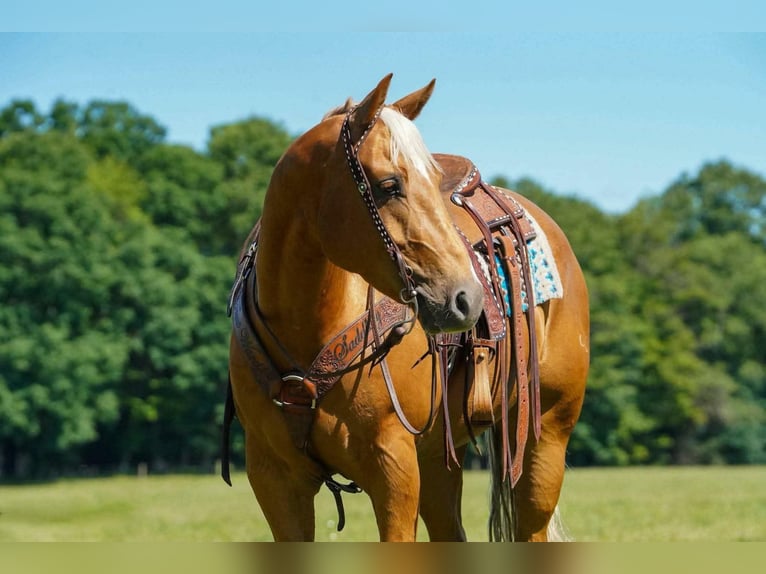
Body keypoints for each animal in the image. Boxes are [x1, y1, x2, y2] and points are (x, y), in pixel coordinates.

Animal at [224, 74, 589, 541]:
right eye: (389, 185)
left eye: (432, 180)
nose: (467, 297)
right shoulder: (274, 480)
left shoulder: (393, 468)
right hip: (437, 458)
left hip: (546, 438)